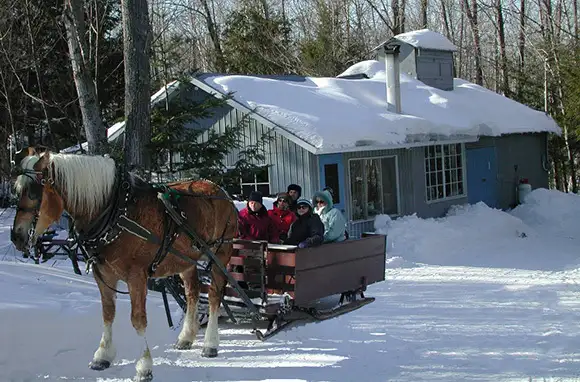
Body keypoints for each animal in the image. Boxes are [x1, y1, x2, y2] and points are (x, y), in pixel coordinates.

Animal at [10, 148, 239, 380]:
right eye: (17, 190)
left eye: (34, 192)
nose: (16, 236)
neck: (117, 212)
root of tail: (220, 191)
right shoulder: (103, 275)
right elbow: (108, 314)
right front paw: (102, 356)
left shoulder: (136, 276)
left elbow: (138, 319)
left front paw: (144, 366)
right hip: (186, 260)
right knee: (192, 294)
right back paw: (186, 338)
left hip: (221, 253)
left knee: (214, 295)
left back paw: (210, 344)